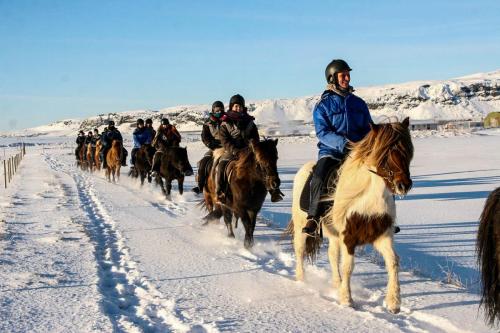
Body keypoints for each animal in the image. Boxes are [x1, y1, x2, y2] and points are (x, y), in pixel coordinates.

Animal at [288, 118, 412, 312]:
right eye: (385, 154)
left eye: (407, 151)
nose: (403, 185)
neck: (367, 199)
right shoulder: (349, 237)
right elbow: (348, 266)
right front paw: (347, 300)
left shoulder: (382, 235)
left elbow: (393, 261)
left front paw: (394, 303)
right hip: (302, 226)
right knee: (300, 251)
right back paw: (302, 280)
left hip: (333, 235)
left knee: (332, 255)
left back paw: (336, 284)